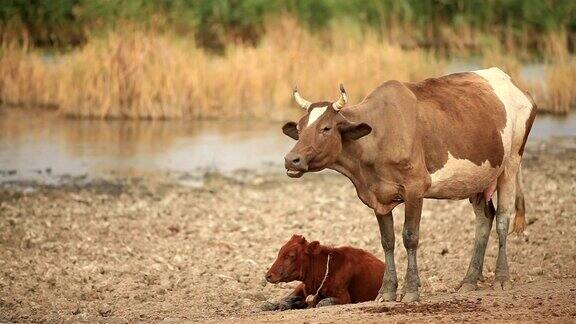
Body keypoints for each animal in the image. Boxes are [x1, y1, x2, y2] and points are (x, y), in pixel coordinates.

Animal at [282, 67, 536, 302]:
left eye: (326, 128)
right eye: (299, 128)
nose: (291, 159)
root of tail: (513, 84)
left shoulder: (415, 188)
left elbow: (410, 236)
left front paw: (411, 289)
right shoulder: (378, 196)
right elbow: (388, 241)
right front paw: (387, 290)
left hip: (511, 162)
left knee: (502, 219)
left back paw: (502, 278)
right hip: (478, 179)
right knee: (484, 220)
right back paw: (469, 280)